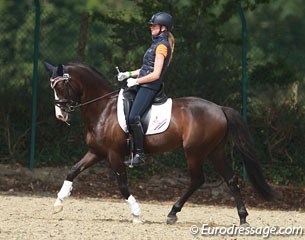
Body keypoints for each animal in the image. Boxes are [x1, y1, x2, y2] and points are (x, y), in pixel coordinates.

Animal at [43, 61, 276, 225]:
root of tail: (219, 108)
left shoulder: (114, 154)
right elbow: (72, 170)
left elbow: (122, 185)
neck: (103, 108)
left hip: (194, 151)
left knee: (197, 179)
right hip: (215, 151)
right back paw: (243, 217)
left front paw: (137, 214)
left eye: (61, 86)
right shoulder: (96, 152)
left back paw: (173, 213)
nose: (60, 115)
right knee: (230, 179)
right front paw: (58, 203)